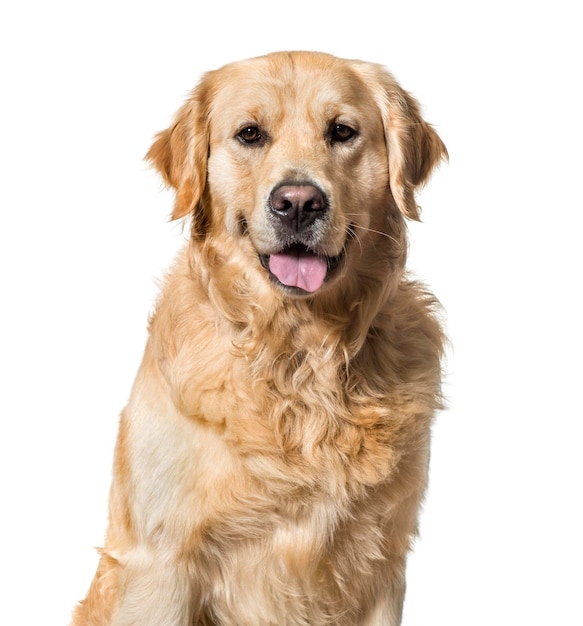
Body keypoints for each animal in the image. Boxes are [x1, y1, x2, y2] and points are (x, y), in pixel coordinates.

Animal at [72, 51, 448, 620]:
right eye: (250, 134)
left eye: (342, 131)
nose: (298, 202)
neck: (297, 354)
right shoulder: (161, 563)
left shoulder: (383, 563)